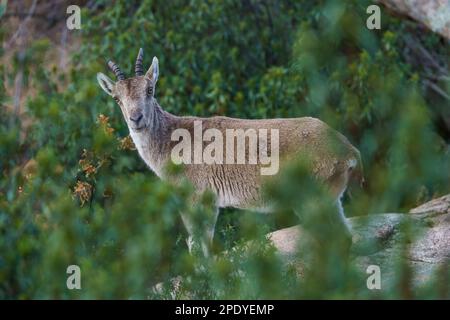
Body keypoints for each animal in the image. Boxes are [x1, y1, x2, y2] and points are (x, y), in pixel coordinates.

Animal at [96, 48, 364, 256]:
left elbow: (198, 244)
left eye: (150, 89)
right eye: (117, 98)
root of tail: (349, 151)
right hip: (331, 199)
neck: (173, 142)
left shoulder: (196, 199)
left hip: (313, 199)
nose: (136, 119)